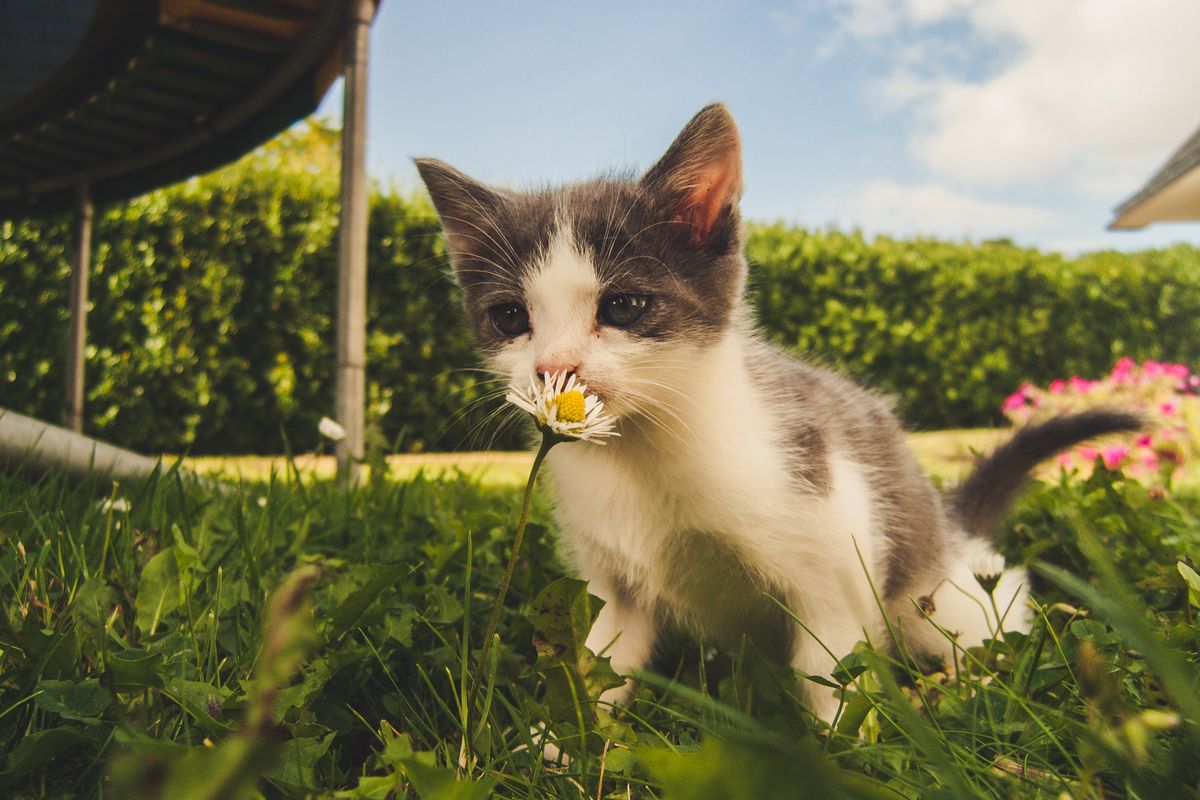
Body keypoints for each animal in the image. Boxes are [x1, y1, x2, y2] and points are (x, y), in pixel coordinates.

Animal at [417, 103, 1137, 724]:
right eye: (511, 317)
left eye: (623, 306)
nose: (554, 368)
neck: (644, 451)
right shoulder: (612, 582)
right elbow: (601, 661)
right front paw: (556, 746)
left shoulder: (835, 552)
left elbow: (830, 673)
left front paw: (841, 751)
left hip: (935, 592)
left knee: (989, 610)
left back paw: (969, 684)